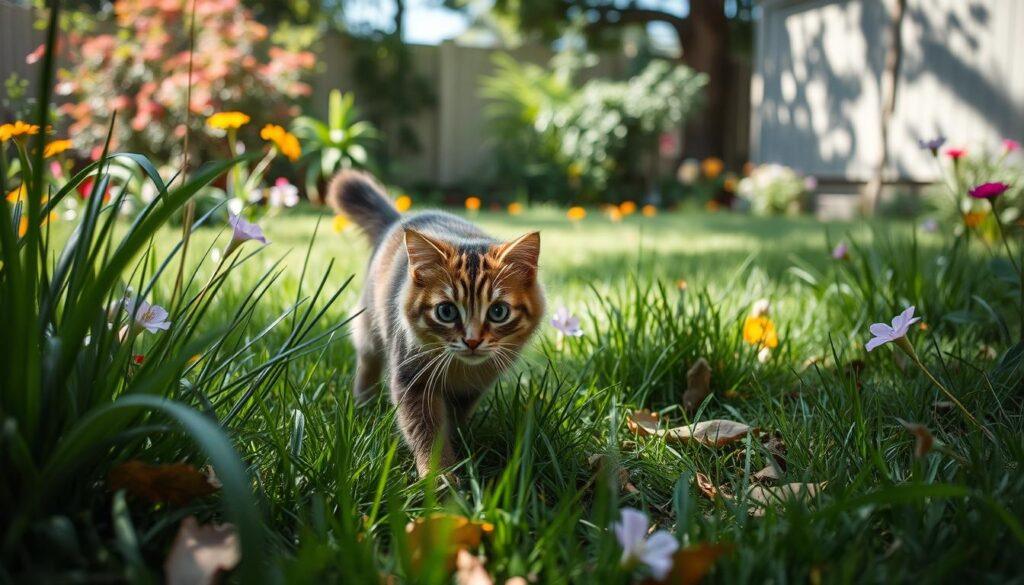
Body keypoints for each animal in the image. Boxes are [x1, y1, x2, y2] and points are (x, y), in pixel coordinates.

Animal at [329, 170, 548, 481]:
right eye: (446, 311)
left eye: (498, 312)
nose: (472, 341)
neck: (460, 368)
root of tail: (399, 217)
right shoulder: (413, 381)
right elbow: (428, 434)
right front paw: (440, 478)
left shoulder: (471, 390)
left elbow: (453, 422)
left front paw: (458, 451)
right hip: (369, 329)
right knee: (367, 364)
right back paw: (364, 404)